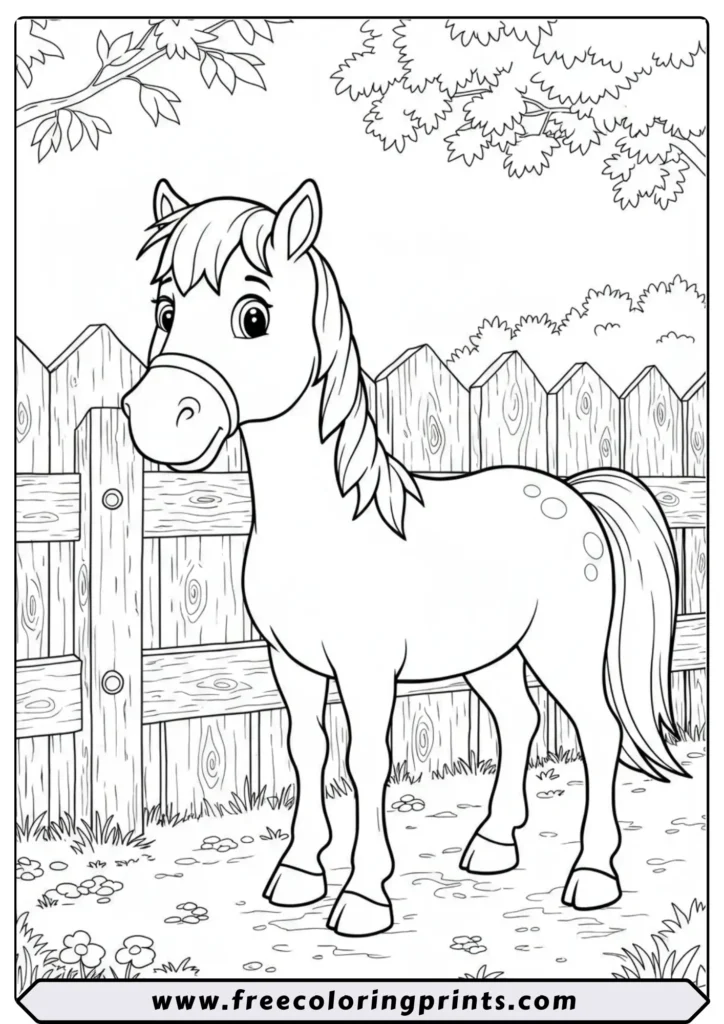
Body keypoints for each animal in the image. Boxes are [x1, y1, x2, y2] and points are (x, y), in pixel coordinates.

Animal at [123, 178, 684, 938]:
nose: (158, 419)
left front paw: (363, 896)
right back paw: (492, 845)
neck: (327, 523)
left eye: (254, 317)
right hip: (492, 654)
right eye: (166, 310)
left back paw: (592, 875)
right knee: (520, 721)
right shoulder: (292, 664)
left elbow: (366, 762)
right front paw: (298, 873)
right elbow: (308, 751)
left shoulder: (366, 671)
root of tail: (574, 493)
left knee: (598, 732)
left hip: (562, 651)